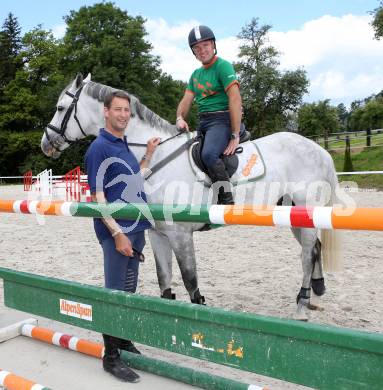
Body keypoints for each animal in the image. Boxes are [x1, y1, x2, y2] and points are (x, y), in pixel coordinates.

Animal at [41, 73, 342, 320]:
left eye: (59, 108)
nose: (46, 143)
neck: (157, 157)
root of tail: (319, 150)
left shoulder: (181, 235)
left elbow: (191, 284)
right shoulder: (158, 234)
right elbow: (165, 282)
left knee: (306, 255)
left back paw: (302, 305)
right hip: (292, 215)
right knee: (314, 249)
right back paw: (316, 292)